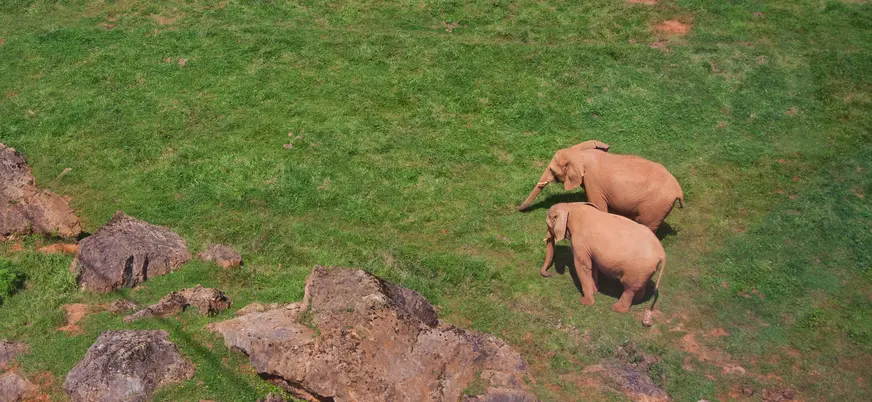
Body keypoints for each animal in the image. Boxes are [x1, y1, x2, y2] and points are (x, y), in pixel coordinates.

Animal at [518, 141, 685, 233]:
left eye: (552, 171)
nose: (520, 209)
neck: (579, 153)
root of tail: (679, 191)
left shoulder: (593, 182)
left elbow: (598, 206)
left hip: (654, 206)